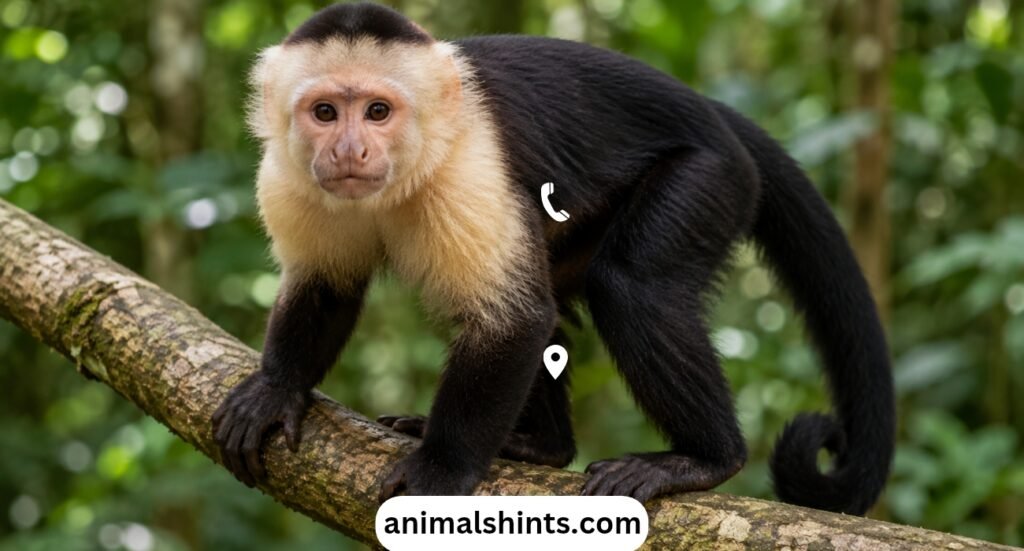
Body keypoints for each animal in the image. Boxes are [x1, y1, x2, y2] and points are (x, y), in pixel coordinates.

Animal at [211, 2, 895, 515]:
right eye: (325, 112)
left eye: (378, 111)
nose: (350, 150)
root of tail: (713, 115)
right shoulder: (288, 177)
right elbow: (325, 286)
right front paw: (278, 388)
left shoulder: (470, 170)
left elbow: (512, 320)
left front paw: (441, 470)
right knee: (557, 302)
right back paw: (542, 448)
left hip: (713, 177)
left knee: (630, 285)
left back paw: (706, 459)